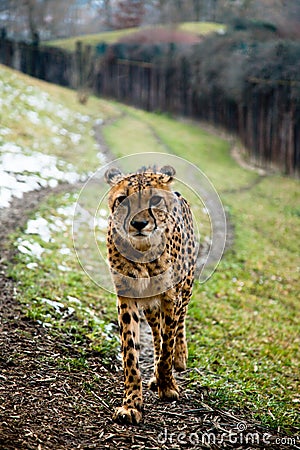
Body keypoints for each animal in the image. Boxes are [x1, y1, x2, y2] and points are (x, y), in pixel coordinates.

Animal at [105, 166, 197, 426]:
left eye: (154, 200)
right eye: (122, 199)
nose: (139, 223)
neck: (143, 251)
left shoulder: (170, 297)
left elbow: (168, 344)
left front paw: (167, 385)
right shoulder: (127, 297)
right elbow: (131, 351)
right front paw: (131, 404)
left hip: (186, 287)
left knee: (179, 323)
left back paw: (179, 357)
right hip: (150, 305)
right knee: (157, 333)